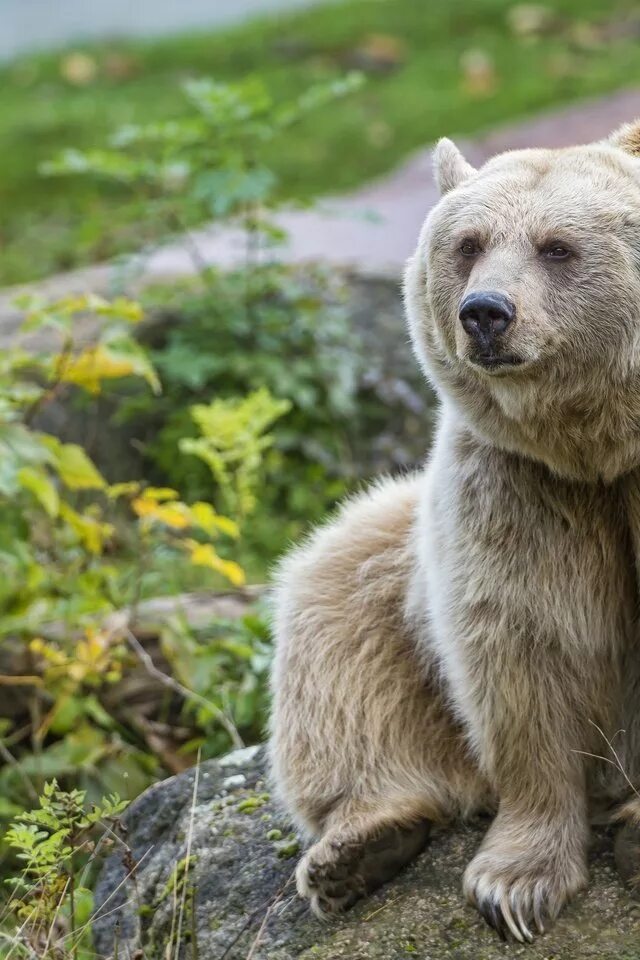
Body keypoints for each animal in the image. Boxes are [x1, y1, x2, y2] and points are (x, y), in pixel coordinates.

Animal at [268, 116, 640, 940]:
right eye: (468, 243)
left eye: (557, 246)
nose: (486, 312)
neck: (602, 451)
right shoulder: (518, 490)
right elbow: (518, 649)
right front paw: (515, 883)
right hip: (389, 552)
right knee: (336, 618)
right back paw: (360, 846)